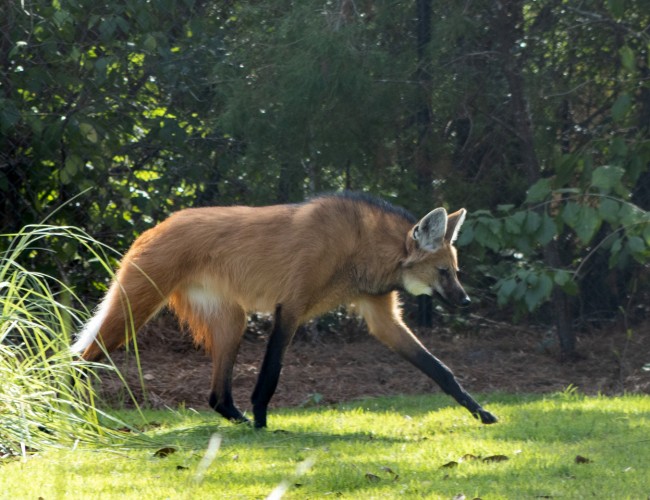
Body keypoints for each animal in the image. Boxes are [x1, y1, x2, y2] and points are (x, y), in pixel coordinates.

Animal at [72, 193, 496, 428]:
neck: (362, 249)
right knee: (81, 357)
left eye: (456, 272)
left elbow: (440, 370)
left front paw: (481, 413)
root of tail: (154, 226)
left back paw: (237, 419)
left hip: (232, 321)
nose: (466, 301)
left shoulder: (381, 316)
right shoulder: (290, 307)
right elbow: (271, 374)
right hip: (136, 308)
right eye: (443, 272)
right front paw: (264, 423)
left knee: (216, 396)